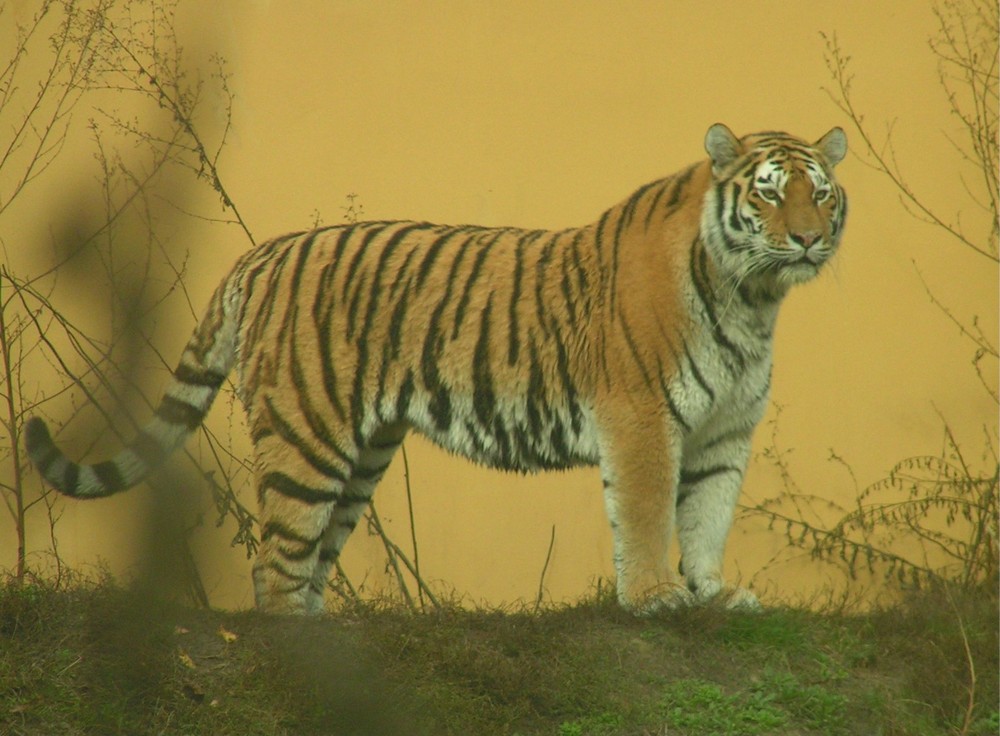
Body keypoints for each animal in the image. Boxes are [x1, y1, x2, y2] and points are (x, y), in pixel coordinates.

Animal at [25, 125, 844, 616]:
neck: (751, 298)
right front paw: (654, 598)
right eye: (770, 191)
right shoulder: (642, 419)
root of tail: (262, 255)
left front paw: (714, 592)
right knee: (275, 566)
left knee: (310, 557)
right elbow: (646, 514)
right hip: (305, 436)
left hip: (361, 454)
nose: (808, 238)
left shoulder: (725, 432)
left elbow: (707, 514)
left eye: (823, 193)